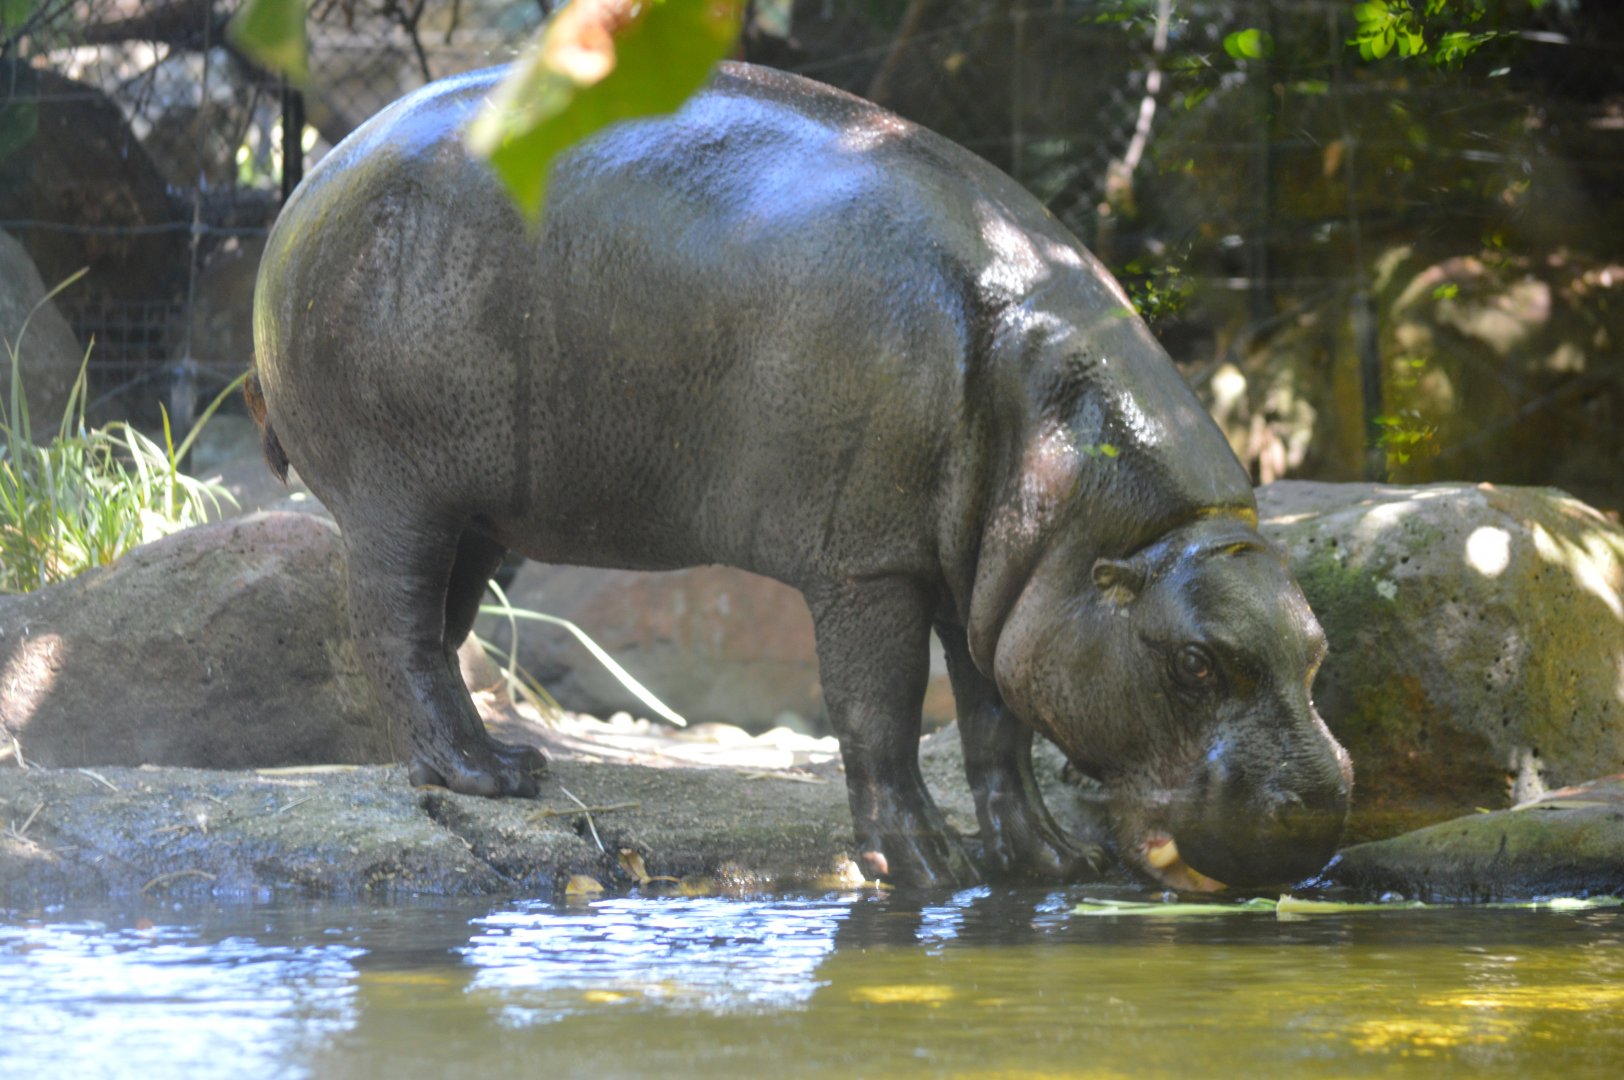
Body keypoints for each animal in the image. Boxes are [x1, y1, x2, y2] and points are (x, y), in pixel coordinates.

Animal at [247, 61, 1352, 890]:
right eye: (1196, 661)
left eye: (1317, 648)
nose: (1322, 804)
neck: (1103, 519)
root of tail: (311, 182)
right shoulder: (867, 566)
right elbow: (880, 713)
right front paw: (929, 869)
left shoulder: (998, 581)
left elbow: (996, 722)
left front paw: (1047, 861)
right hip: (398, 495)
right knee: (393, 628)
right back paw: (489, 777)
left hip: (478, 508)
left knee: (438, 626)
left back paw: (481, 764)